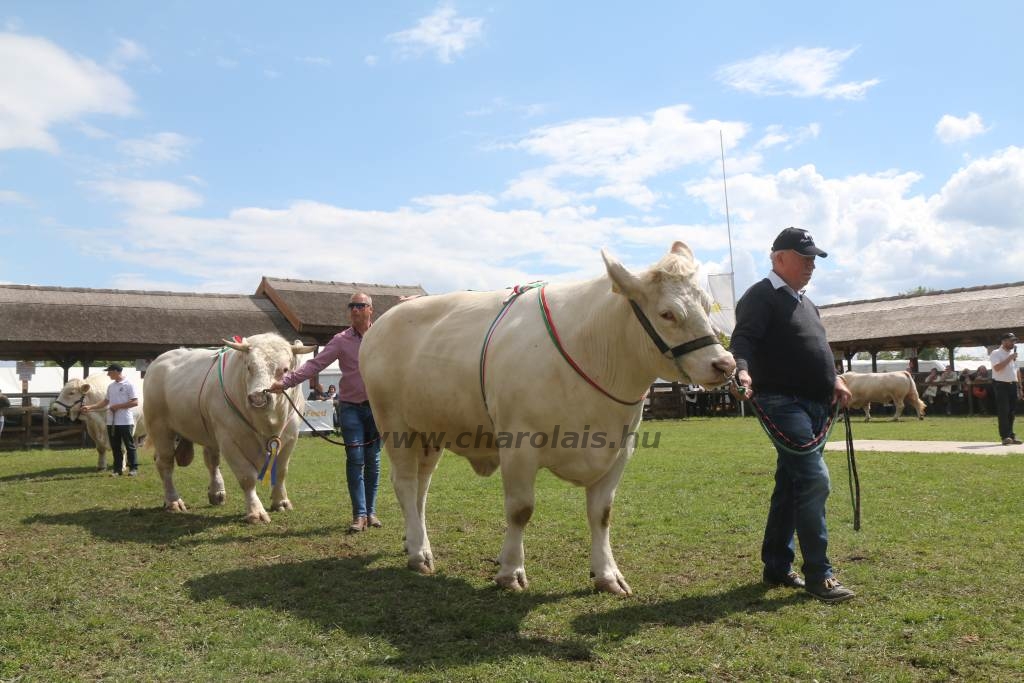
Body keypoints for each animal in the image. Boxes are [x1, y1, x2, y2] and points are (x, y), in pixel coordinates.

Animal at [142, 331, 313, 524]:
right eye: (249, 366)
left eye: (284, 369)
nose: (257, 398)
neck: (269, 421)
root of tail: (158, 361)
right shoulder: (229, 439)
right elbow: (247, 477)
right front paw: (256, 511)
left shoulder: (290, 437)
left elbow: (282, 471)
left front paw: (281, 501)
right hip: (160, 427)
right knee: (165, 463)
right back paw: (173, 501)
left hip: (208, 432)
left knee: (211, 461)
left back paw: (216, 493)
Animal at [360, 241, 737, 593]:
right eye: (667, 314)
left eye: (706, 306)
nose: (725, 364)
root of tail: (383, 321)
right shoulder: (518, 445)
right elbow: (521, 509)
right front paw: (511, 571)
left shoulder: (620, 450)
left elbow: (602, 514)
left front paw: (607, 574)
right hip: (394, 424)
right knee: (405, 482)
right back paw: (418, 553)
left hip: (430, 429)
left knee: (421, 487)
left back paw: (416, 540)